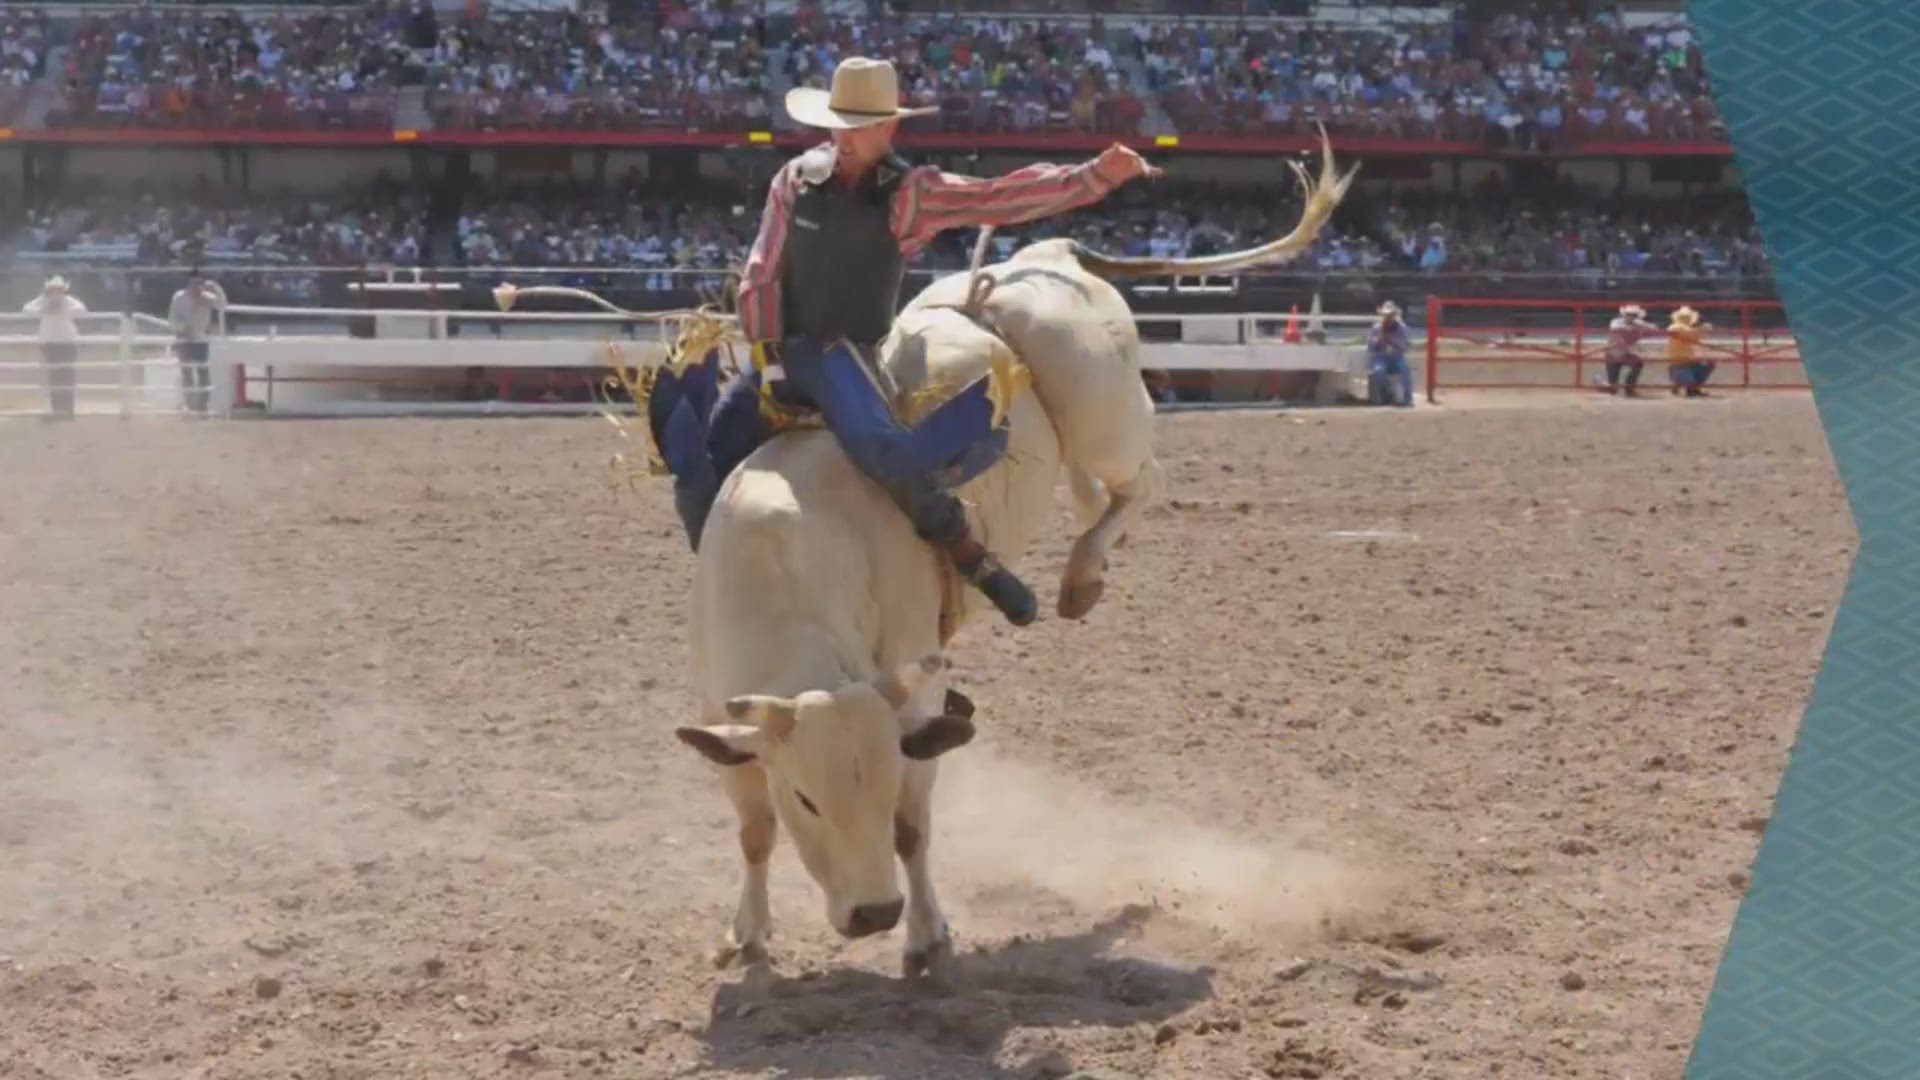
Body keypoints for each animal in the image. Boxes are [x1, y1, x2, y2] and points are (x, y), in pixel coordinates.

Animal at [668, 136, 1359, 976]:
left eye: (882, 776)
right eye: (805, 795)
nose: (873, 914)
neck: (786, 561)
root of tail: (1045, 256)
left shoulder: (916, 692)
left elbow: (912, 828)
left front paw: (927, 937)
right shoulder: (722, 714)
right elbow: (754, 833)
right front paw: (747, 934)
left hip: (1102, 405)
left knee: (1142, 480)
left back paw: (1077, 578)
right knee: (1098, 494)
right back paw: (1086, 564)